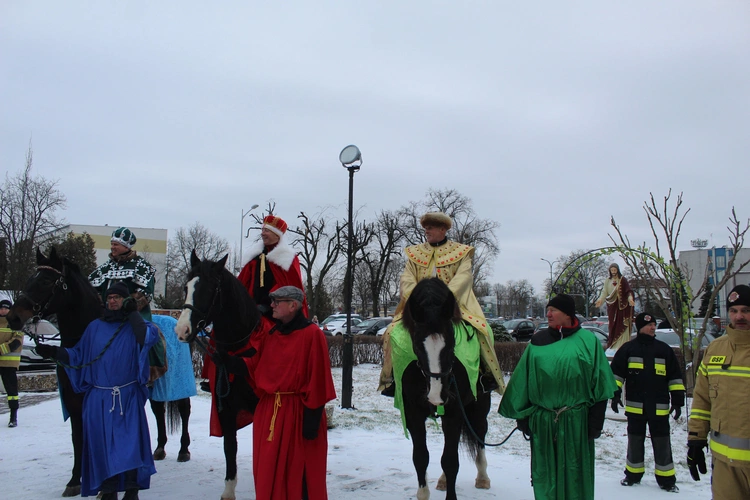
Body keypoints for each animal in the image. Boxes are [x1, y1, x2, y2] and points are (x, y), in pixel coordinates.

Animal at [396, 278, 496, 500]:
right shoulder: (413, 413)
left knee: (480, 435)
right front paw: (423, 493)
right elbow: (421, 457)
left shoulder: (455, 411)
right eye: (417, 346)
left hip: (480, 407)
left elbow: (450, 461)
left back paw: (483, 477)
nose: (436, 396)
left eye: (451, 344)